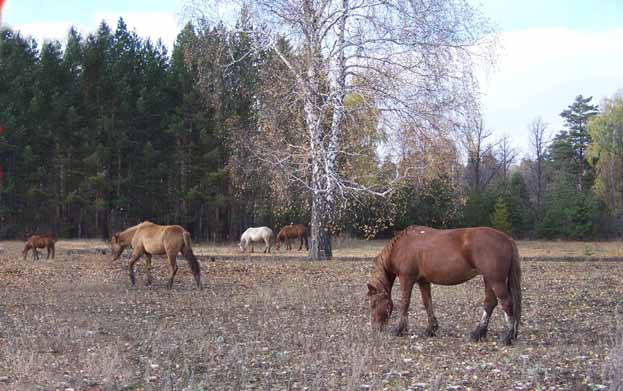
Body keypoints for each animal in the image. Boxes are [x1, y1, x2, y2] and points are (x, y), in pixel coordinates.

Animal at [368, 227, 524, 346]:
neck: (403, 246)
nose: (375, 328)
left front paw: (400, 329)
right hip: (488, 279)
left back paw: (507, 337)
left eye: (374, 303)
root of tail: (507, 239)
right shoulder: (423, 281)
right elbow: (427, 303)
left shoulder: (407, 278)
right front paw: (431, 329)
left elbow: (405, 303)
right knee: (490, 303)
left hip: (495, 280)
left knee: (507, 303)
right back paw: (478, 333)